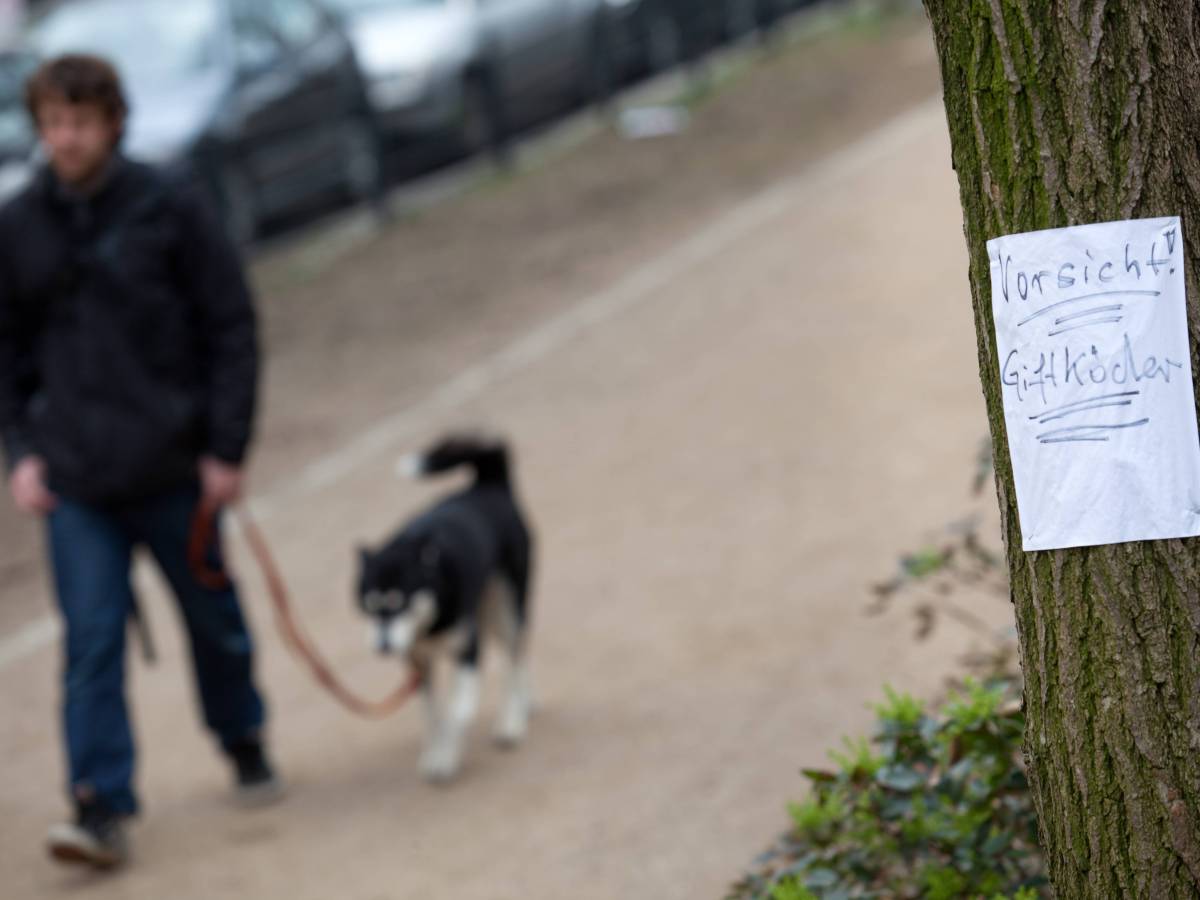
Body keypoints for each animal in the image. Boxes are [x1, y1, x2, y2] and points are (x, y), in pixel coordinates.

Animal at [355, 436, 535, 782]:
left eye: (400, 601)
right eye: (369, 606)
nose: (383, 647)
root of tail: (488, 483)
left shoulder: (467, 650)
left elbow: (456, 712)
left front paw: (447, 758)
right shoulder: (418, 662)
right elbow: (432, 715)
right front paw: (435, 754)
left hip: (505, 613)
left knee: (515, 660)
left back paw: (512, 720)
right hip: (487, 613)